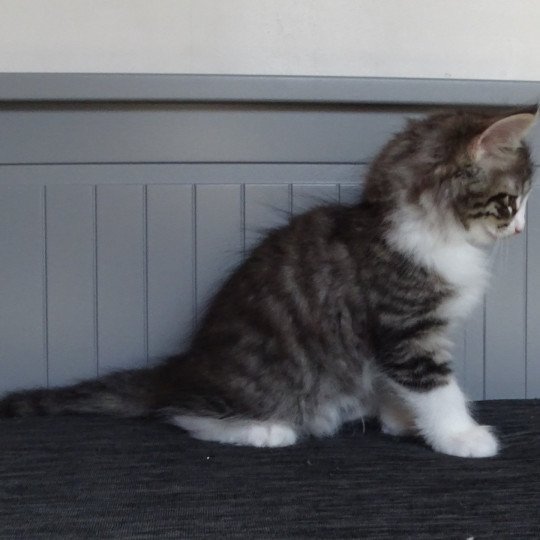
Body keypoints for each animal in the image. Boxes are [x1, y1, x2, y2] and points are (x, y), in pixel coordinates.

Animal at [1, 109, 536, 456]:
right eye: (510, 202)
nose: (522, 229)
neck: (427, 231)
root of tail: (185, 365)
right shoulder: (406, 330)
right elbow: (437, 389)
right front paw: (461, 435)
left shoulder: (392, 341)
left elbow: (394, 386)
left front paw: (403, 421)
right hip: (260, 386)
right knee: (181, 412)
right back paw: (263, 431)